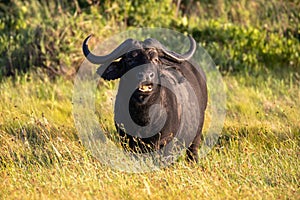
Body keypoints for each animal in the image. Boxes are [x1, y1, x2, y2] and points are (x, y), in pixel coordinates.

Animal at [83, 34, 207, 162]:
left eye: (155, 59)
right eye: (130, 60)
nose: (146, 75)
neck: (143, 117)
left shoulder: (166, 144)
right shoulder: (128, 143)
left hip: (197, 133)